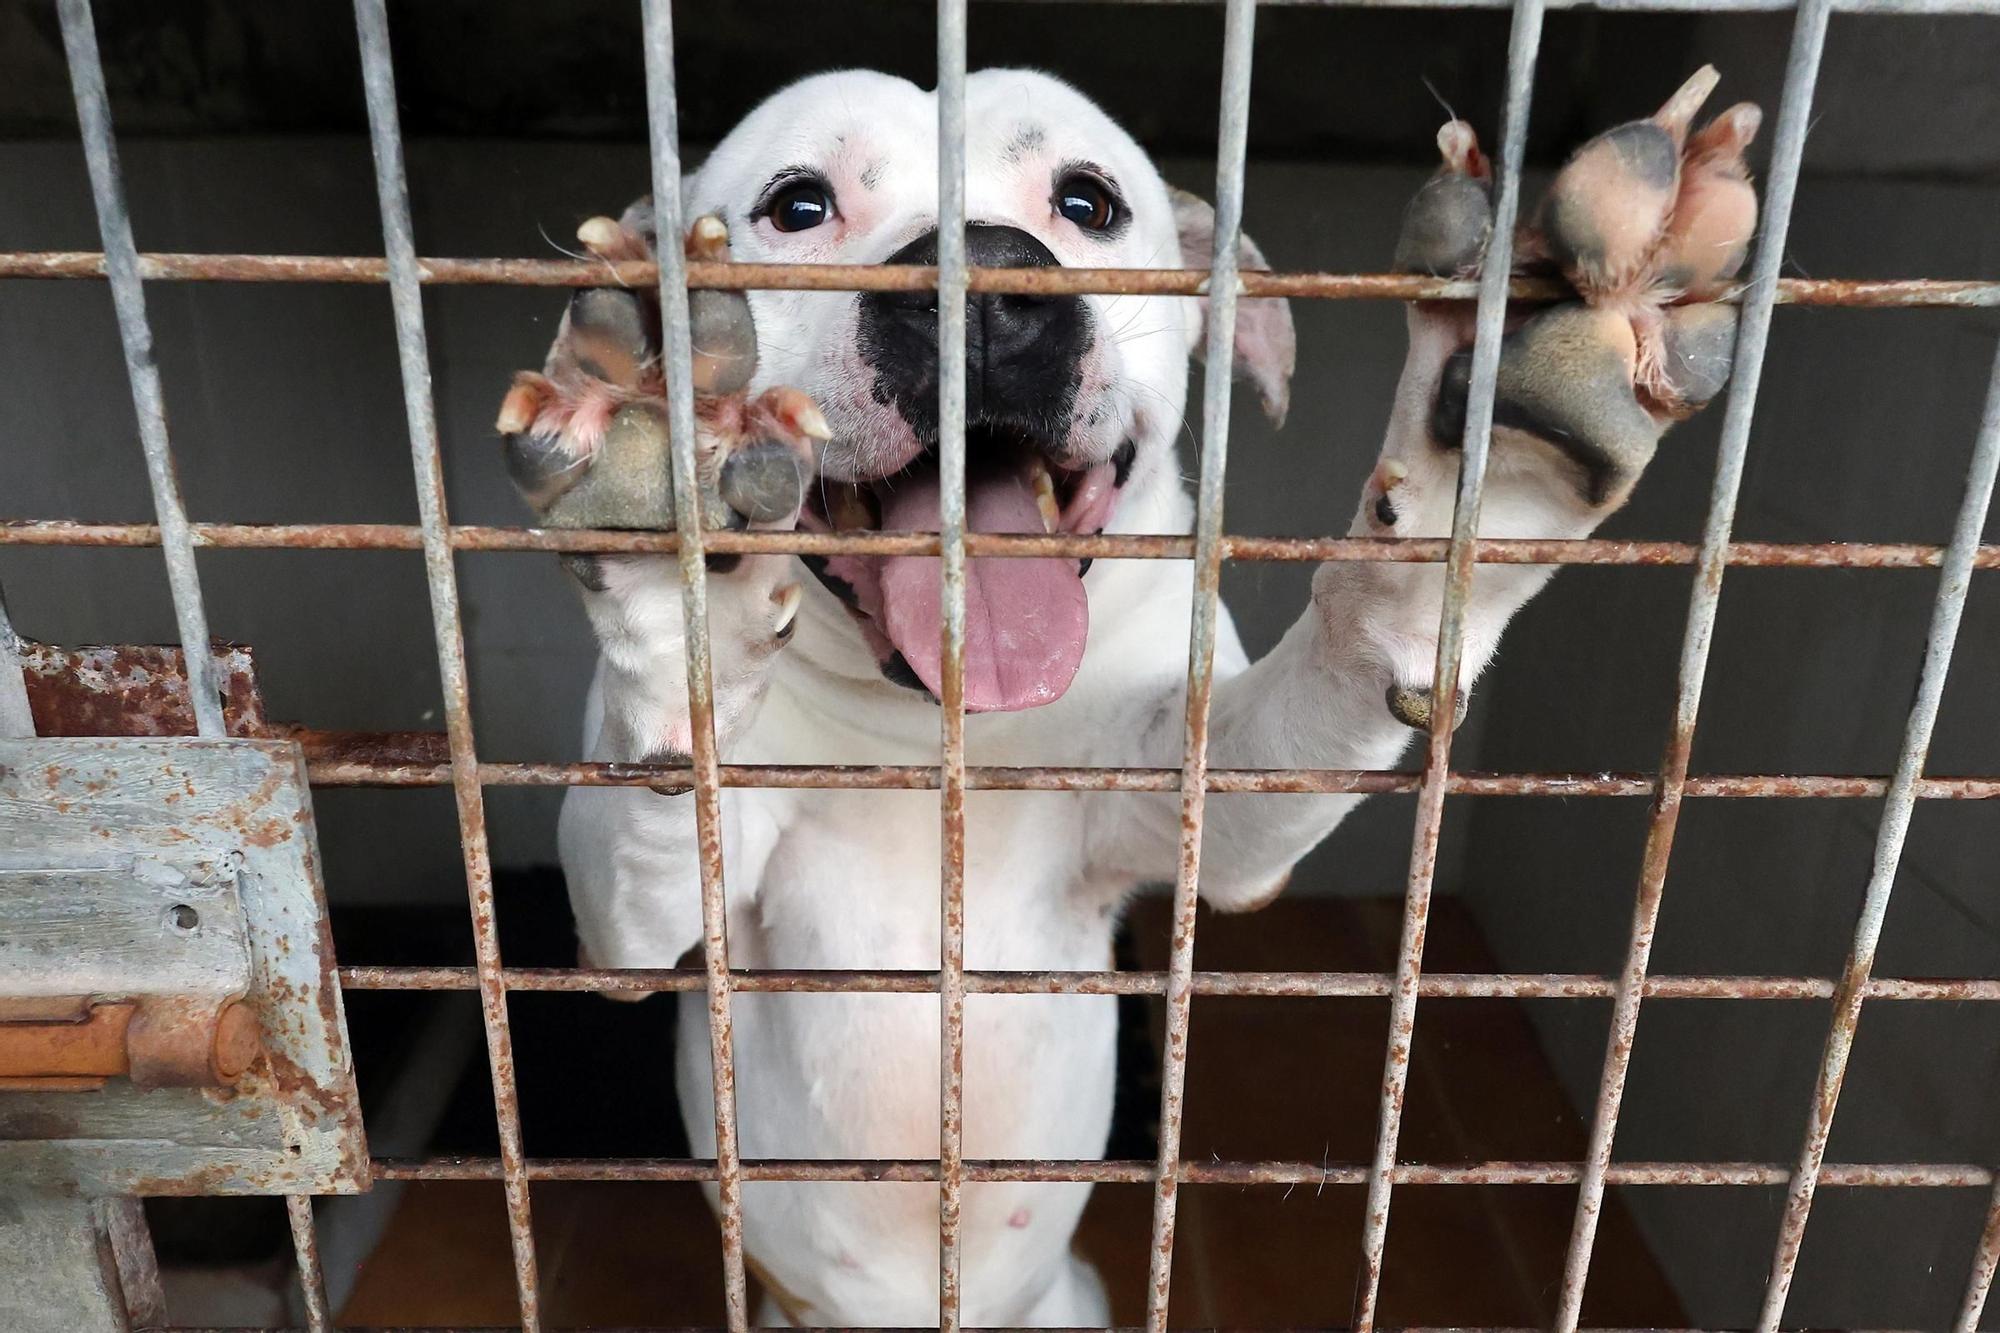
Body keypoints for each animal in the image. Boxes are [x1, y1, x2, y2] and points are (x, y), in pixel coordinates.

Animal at [496, 67, 1752, 1320]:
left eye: (1086, 204)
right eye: (797, 207)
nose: (985, 285)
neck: (940, 724)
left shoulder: (1201, 808)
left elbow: (1338, 659)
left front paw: (1485, 468)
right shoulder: (634, 923)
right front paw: (664, 515)